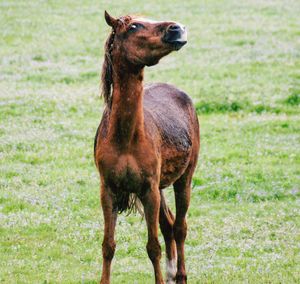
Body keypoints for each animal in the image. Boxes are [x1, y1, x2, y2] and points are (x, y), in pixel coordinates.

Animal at [94, 11, 200, 284]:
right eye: (134, 26)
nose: (177, 28)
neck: (126, 138)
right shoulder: (108, 190)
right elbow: (108, 245)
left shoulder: (148, 190)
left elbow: (153, 247)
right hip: (160, 186)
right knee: (169, 224)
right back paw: (173, 273)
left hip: (183, 178)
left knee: (180, 227)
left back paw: (180, 274)